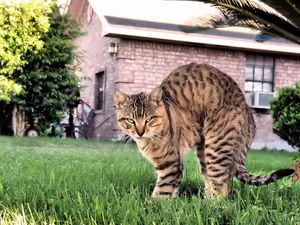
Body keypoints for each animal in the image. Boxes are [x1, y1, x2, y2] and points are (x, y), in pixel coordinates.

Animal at [112, 62, 292, 199]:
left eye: (149, 119)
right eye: (130, 120)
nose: (140, 132)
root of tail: (249, 113)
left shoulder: (171, 165)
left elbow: (162, 192)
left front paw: (153, 208)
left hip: (217, 148)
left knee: (222, 187)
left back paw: (210, 206)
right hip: (205, 152)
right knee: (220, 180)